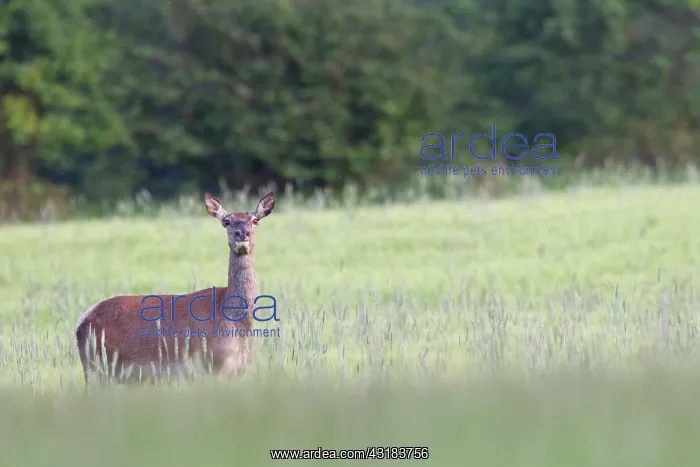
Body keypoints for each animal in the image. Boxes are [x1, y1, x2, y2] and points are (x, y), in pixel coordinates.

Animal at [75, 191, 276, 388]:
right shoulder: (209, 367)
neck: (235, 324)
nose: (242, 234)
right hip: (98, 368)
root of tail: (81, 322)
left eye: (255, 220)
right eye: (226, 221)